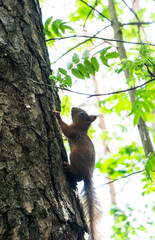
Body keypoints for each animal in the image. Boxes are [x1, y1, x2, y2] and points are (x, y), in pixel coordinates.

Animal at [52, 107, 101, 240]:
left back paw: (67, 167)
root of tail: (88, 174)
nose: (73, 107)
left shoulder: (73, 131)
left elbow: (65, 129)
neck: (81, 128)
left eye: (81, 113)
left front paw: (57, 116)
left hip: (74, 155)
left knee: (78, 175)